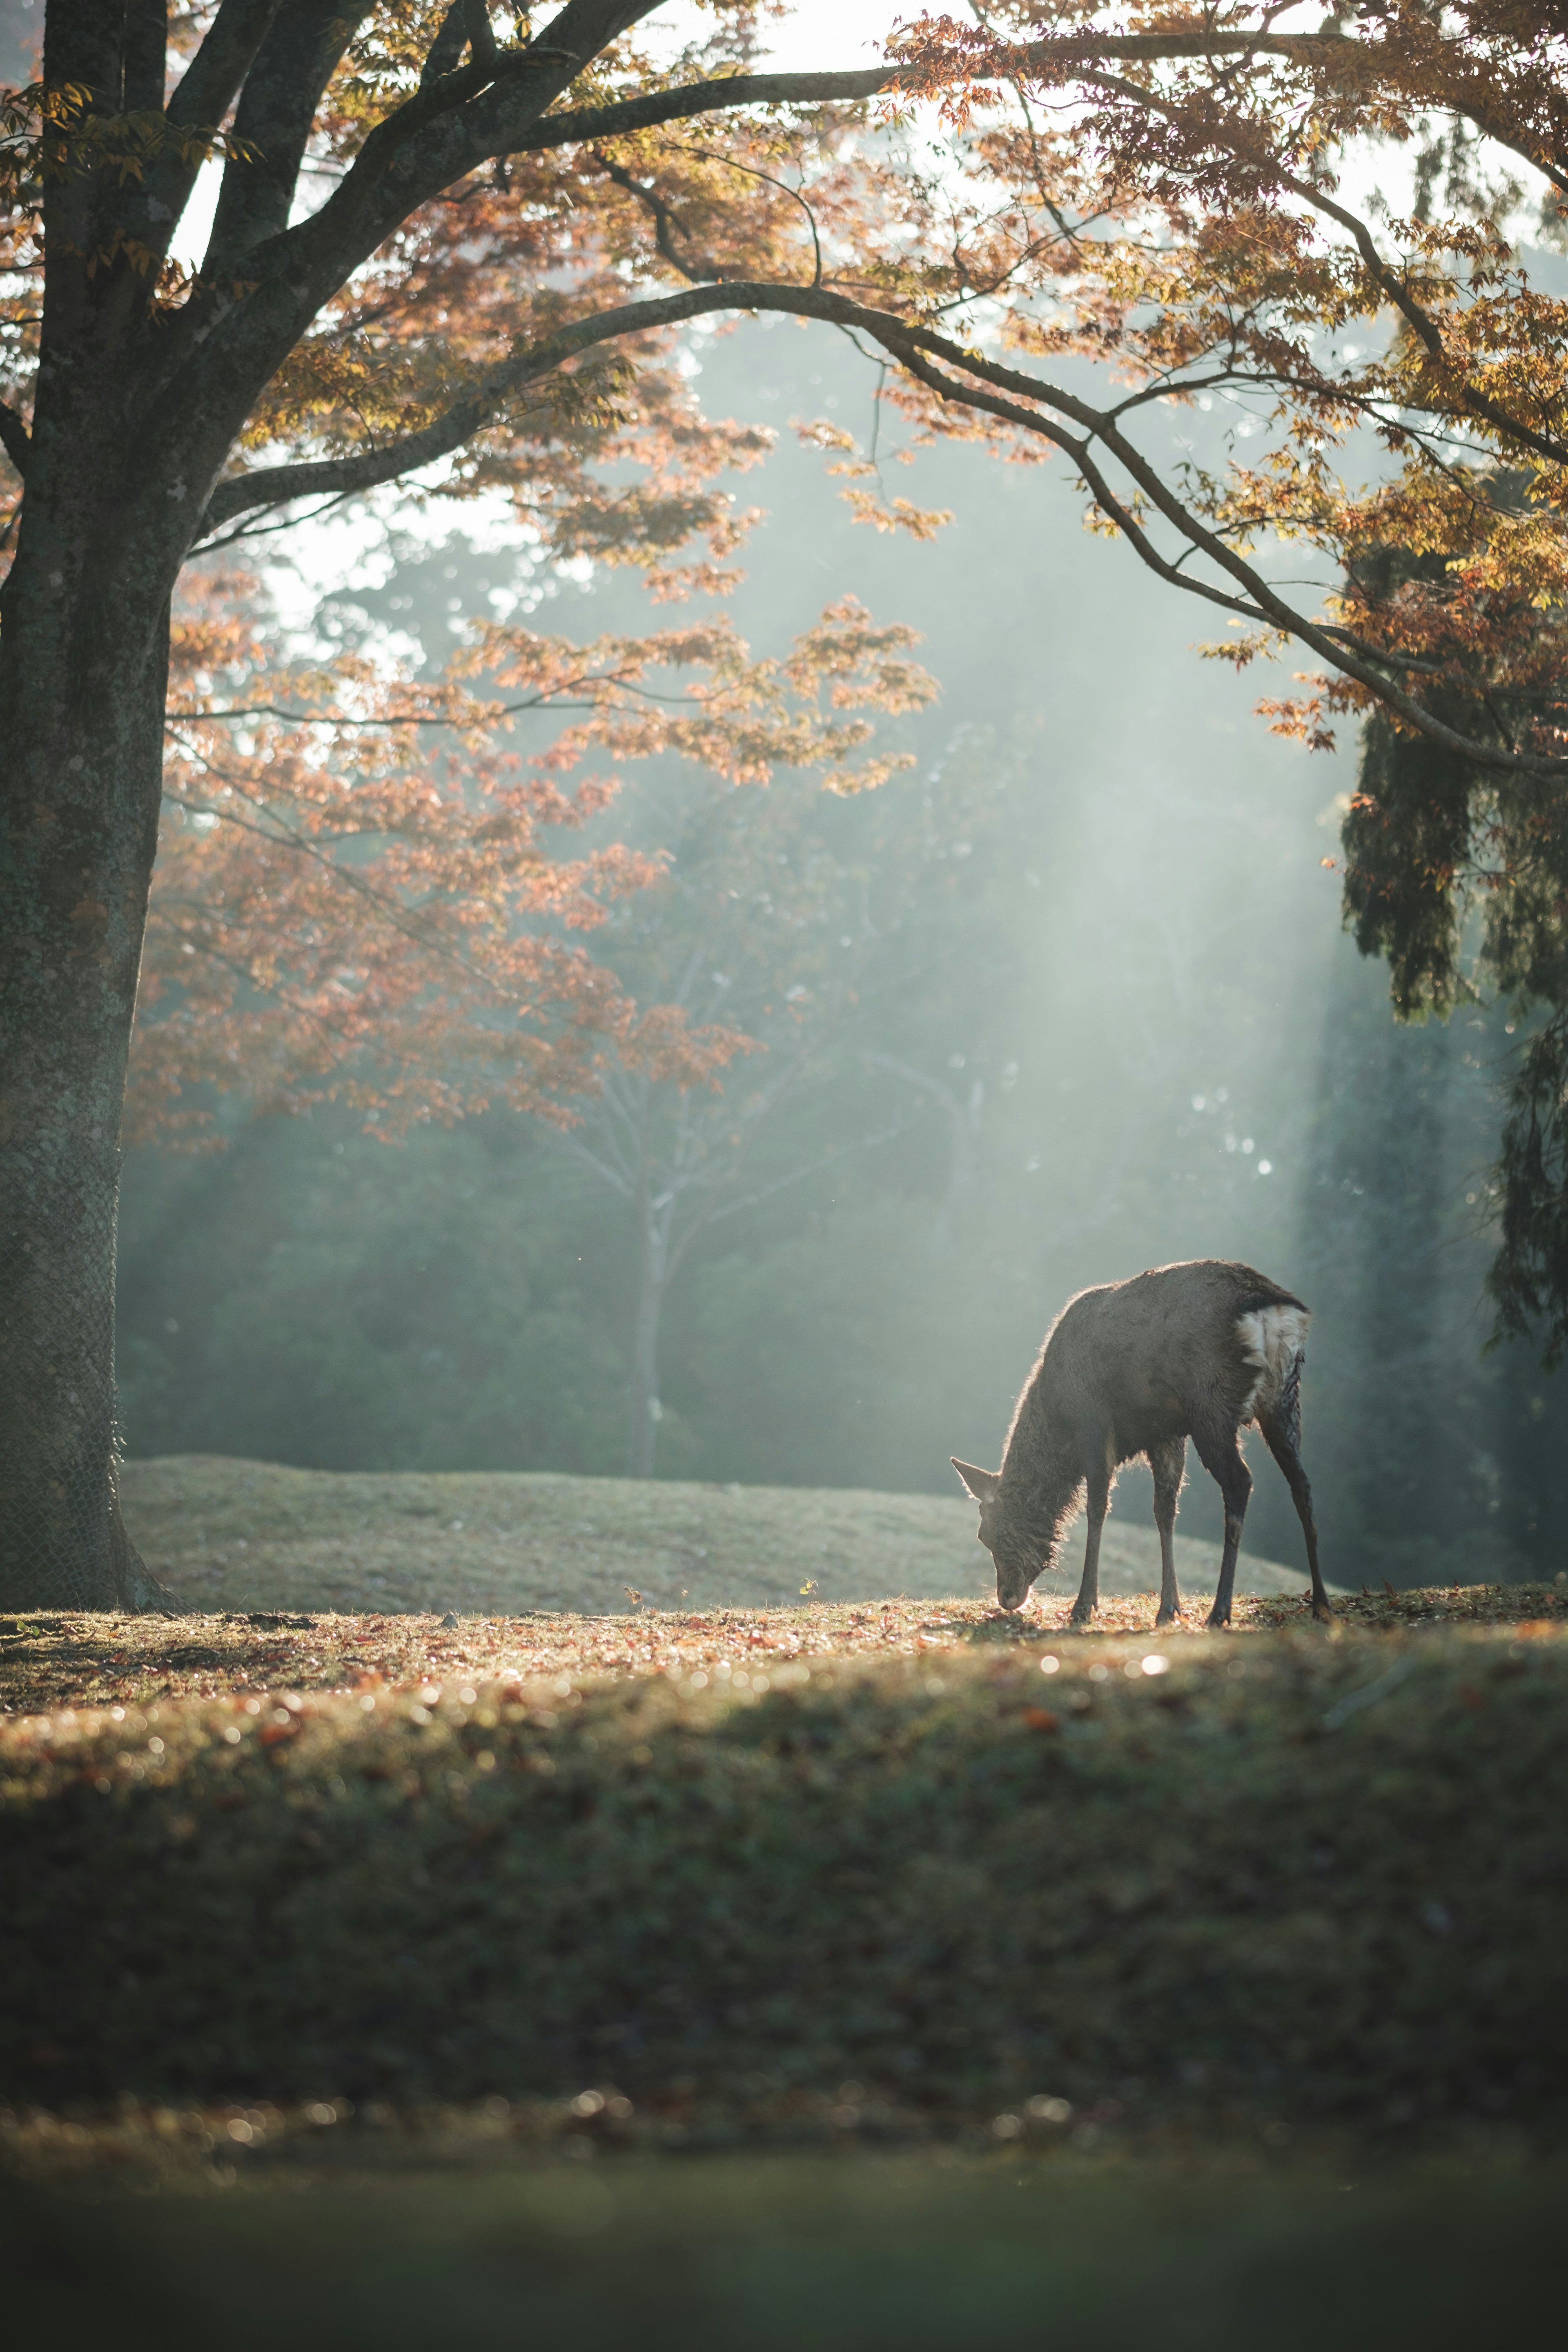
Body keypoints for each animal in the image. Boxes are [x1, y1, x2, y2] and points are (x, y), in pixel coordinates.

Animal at [949, 1261, 1335, 1627]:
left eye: (987, 1534)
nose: (1007, 1597)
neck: (1058, 1421)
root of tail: (1274, 1307)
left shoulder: (1095, 1423)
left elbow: (1097, 1508)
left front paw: (1085, 1605)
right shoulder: (1166, 1433)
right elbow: (1164, 1510)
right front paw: (1169, 1608)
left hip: (1212, 1404)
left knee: (1241, 1481)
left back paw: (1220, 1611)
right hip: (1281, 1400)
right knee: (1302, 1484)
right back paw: (1321, 1603)